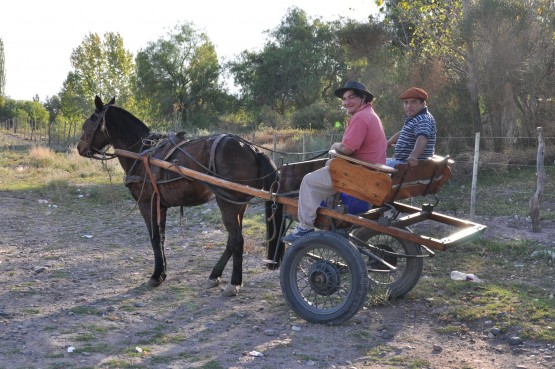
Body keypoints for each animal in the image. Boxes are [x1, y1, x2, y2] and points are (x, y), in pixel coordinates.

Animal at [76, 95, 284, 296]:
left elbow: (154, 238)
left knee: (237, 241)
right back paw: (214, 275)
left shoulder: (146, 204)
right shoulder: (160, 206)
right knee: (231, 241)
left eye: (88, 123)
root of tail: (252, 149)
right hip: (238, 204)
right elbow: (161, 238)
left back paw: (234, 283)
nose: (79, 148)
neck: (141, 152)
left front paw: (155, 275)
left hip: (227, 204)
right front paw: (162, 273)